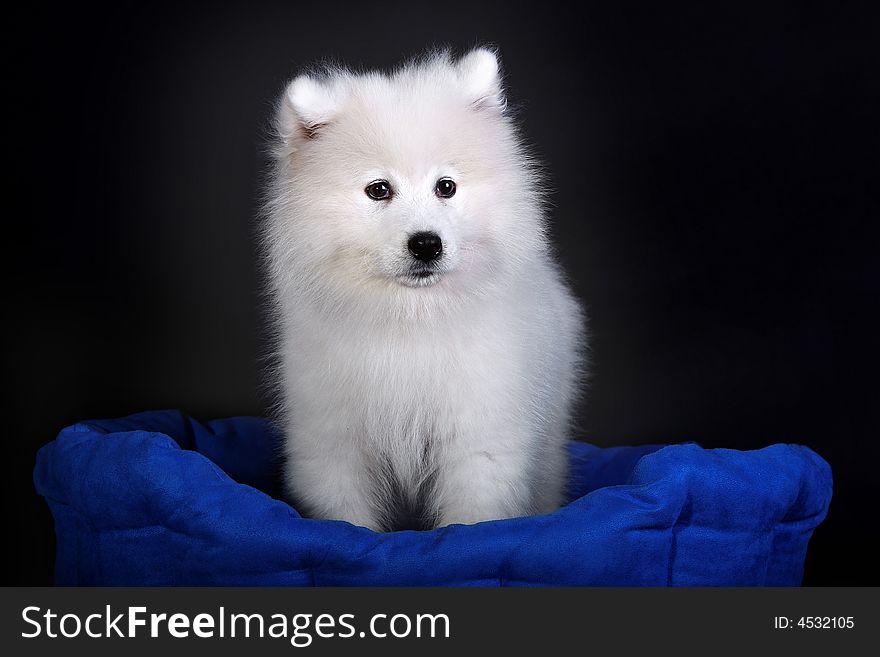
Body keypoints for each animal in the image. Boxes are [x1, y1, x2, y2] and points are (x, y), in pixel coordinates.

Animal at [264, 48, 588, 532]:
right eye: (379, 190)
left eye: (446, 187)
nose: (426, 243)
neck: (410, 319)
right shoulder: (335, 442)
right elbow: (346, 518)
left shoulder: (478, 438)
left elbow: (473, 514)